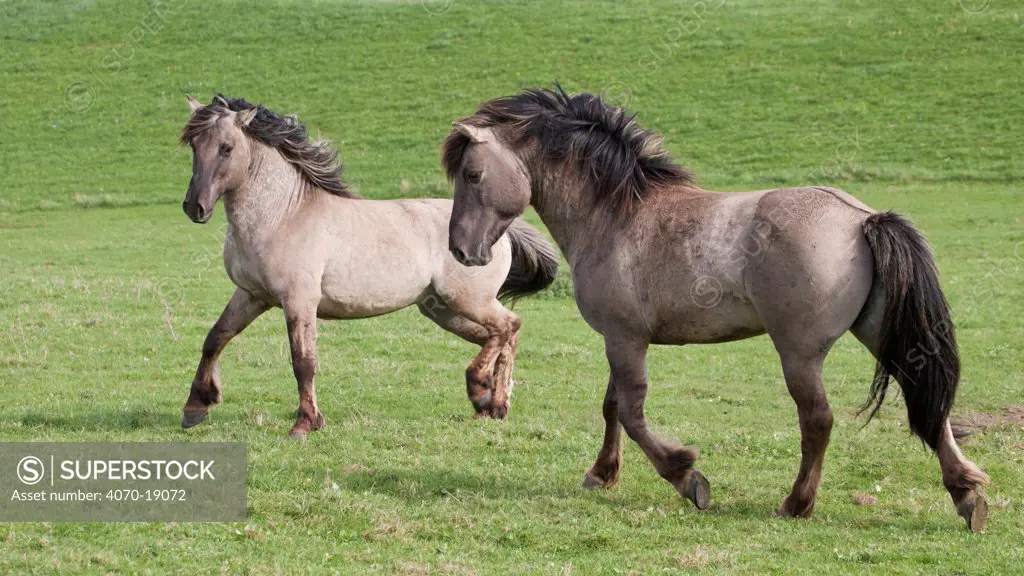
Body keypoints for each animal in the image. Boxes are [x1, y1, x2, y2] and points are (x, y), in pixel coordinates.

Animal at [180, 94, 557, 434]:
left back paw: (485, 393)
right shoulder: (251, 295)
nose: (194, 207)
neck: (283, 214)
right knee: (496, 336)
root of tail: (502, 233)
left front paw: (305, 423)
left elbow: (303, 361)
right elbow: (215, 337)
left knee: (509, 326)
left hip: (469, 300)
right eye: (193, 145)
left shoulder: (299, 300)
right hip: (442, 309)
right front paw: (195, 408)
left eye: (226, 148)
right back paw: (491, 405)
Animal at [444, 85, 987, 528]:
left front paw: (687, 478)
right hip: (880, 334)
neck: (616, 215)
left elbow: (633, 415)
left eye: (472, 174)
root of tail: (862, 218)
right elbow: (613, 407)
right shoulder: (623, 339)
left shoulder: (624, 338)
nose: (461, 250)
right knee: (927, 402)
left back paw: (796, 504)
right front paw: (602, 474)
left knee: (818, 421)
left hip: (799, 353)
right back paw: (967, 495)